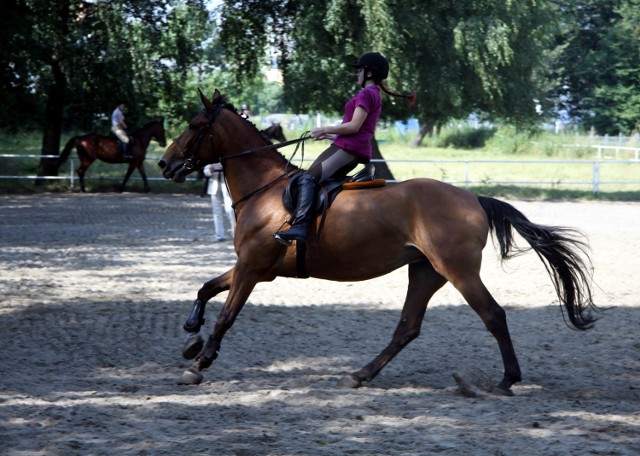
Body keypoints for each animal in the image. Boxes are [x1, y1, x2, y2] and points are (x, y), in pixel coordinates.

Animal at [158, 89, 596, 396]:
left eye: (195, 124)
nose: (165, 163)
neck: (264, 190)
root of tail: (473, 199)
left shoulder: (252, 269)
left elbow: (226, 314)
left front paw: (198, 364)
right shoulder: (255, 267)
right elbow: (206, 288)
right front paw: (191, 336)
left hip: (458, 271)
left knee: (493, 315)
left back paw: (507, 380)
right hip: (425, 272)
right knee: (407, 327)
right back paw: (359, 374)